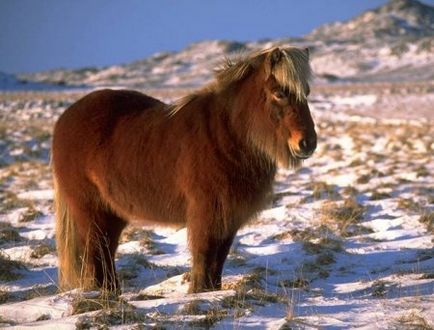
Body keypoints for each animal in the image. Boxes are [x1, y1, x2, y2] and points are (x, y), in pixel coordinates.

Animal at [52, 46, 318, 294]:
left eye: (306, 93)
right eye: (279, 93)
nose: (307, 143)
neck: (227, 134)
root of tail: (66, 117)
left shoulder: (228, 217)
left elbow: (218, 260)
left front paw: (212, 292)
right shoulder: (207, 214)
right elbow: (204, 255)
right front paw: (199, 293)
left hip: (112, 212)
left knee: (106, 250)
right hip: (91, 210)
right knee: (96, 252)